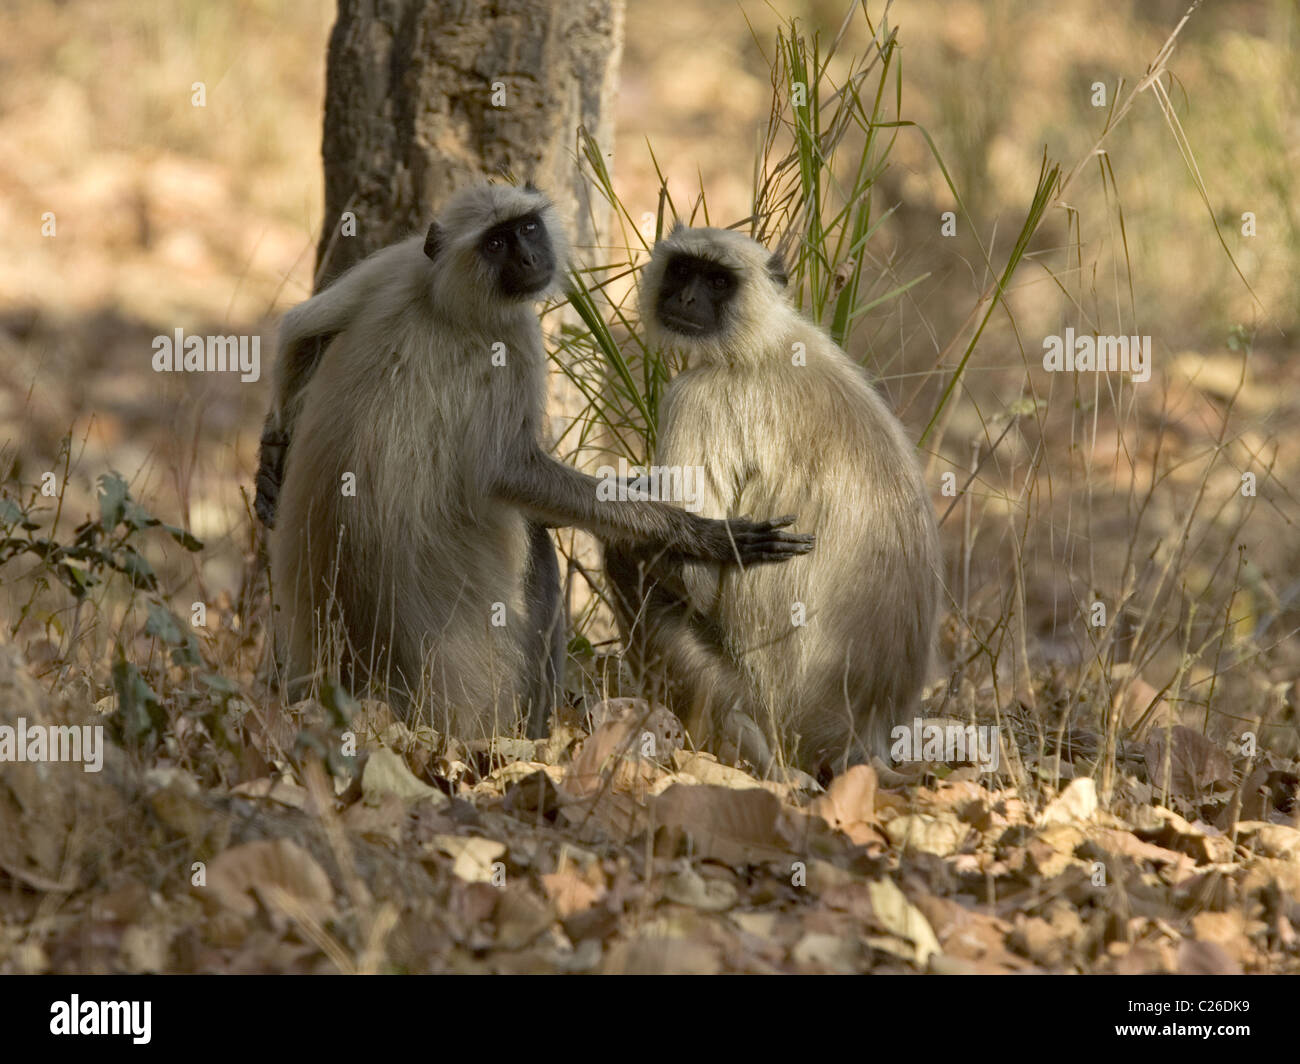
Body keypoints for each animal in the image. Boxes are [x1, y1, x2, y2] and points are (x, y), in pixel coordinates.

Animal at [263, 184, 811, 738]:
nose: (529, 257)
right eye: (496, 243)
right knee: (537, 553)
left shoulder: (400, 262)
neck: (443, 299)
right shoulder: (513, 332)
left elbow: (301, 329)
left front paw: (271, 464)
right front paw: (699, 533)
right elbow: (513, 475)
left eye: (526, 229)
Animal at [603, 222, 941, 780]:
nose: (687, 298)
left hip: (751, 701)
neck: (765, 341)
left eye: (718, 281)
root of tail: (861, 740)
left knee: (622, 560)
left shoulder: (694, 397)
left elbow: (696, 580)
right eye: (682, 269)